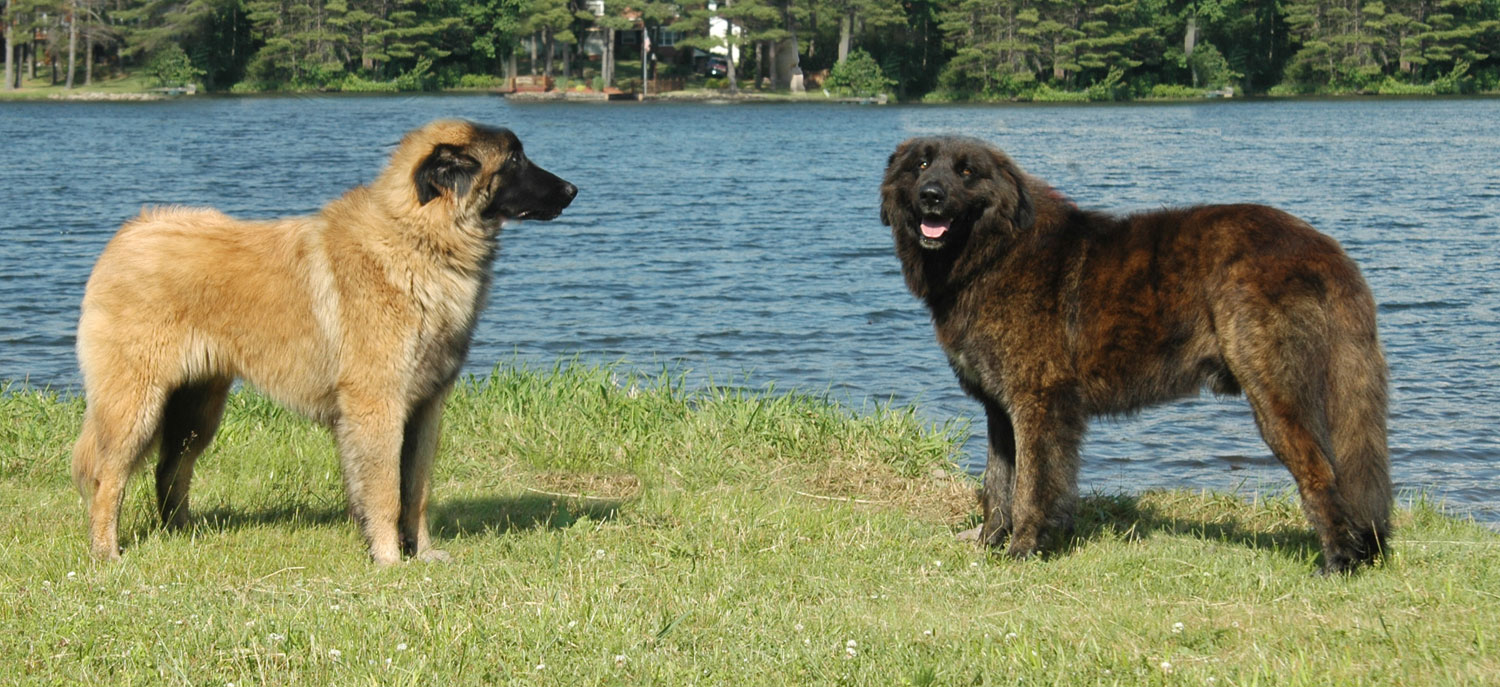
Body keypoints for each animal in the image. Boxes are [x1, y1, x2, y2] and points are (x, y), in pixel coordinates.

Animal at [70, 120, 576, 564]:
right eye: (514, 159)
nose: (573, 190)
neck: (416, 238)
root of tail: (129, 233)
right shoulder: (378, 404)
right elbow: (386, 492)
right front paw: (389, 558)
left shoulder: (425, 407)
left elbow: (417, 490)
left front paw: (422, 553)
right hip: (136, 402)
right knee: (108, 477)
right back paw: (106, 552)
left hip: (196, 408)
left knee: (170, 469)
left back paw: (182, 534)